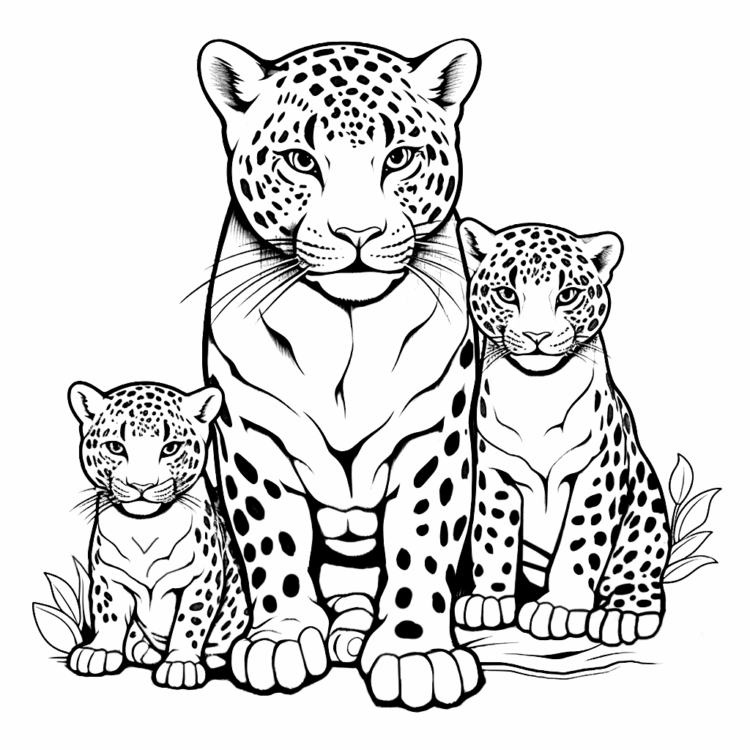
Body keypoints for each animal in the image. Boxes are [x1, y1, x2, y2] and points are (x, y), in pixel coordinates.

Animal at [67, 381, 247, 689]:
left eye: (171, 448)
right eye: (116, 447)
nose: (142, 486)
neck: (145, 531)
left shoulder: (202, 578)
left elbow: (191, 619)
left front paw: (181, 663)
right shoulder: (109, 575)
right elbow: (108, 612)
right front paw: (101, 650)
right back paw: (141, 648)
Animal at [196, 38, 483, 709]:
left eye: (400, 158)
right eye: (300, 160)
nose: (358, 233)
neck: (347, 334)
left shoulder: (432, 439)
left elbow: (422, 543)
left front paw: (413, 652)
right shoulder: (254, 438)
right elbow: (271, 542)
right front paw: (281, 638)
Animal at [453, 219, 670, 647]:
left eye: (567, 295)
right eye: (507, 294)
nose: (537, 336)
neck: (537, 393)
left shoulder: (599, 471)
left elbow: (581, 539)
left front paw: (560, 608)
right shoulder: (495, 473)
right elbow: (493, 535)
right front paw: (489, 599)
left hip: (645, 507)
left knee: (636, 566)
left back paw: (623, 613)